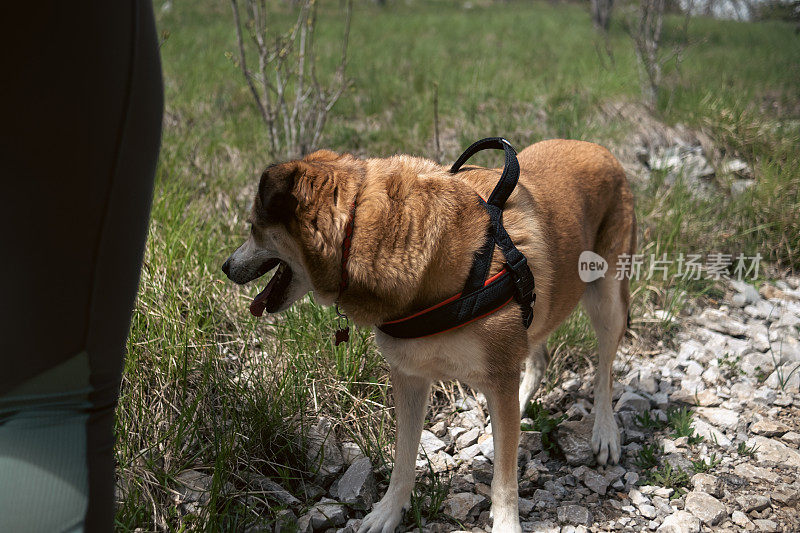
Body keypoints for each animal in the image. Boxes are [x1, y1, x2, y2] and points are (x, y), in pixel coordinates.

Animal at [223, 139, 636, 528]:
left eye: (253, 227)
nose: (225, 266)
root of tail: (599, 148)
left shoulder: (499, 374)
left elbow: (505, 482)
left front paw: (506, 524)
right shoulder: (409, 377)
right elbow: (404, 457)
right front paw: (388, 512)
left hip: (607, 299)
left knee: (604, 372)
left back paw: (604, 432)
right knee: (538, 358)